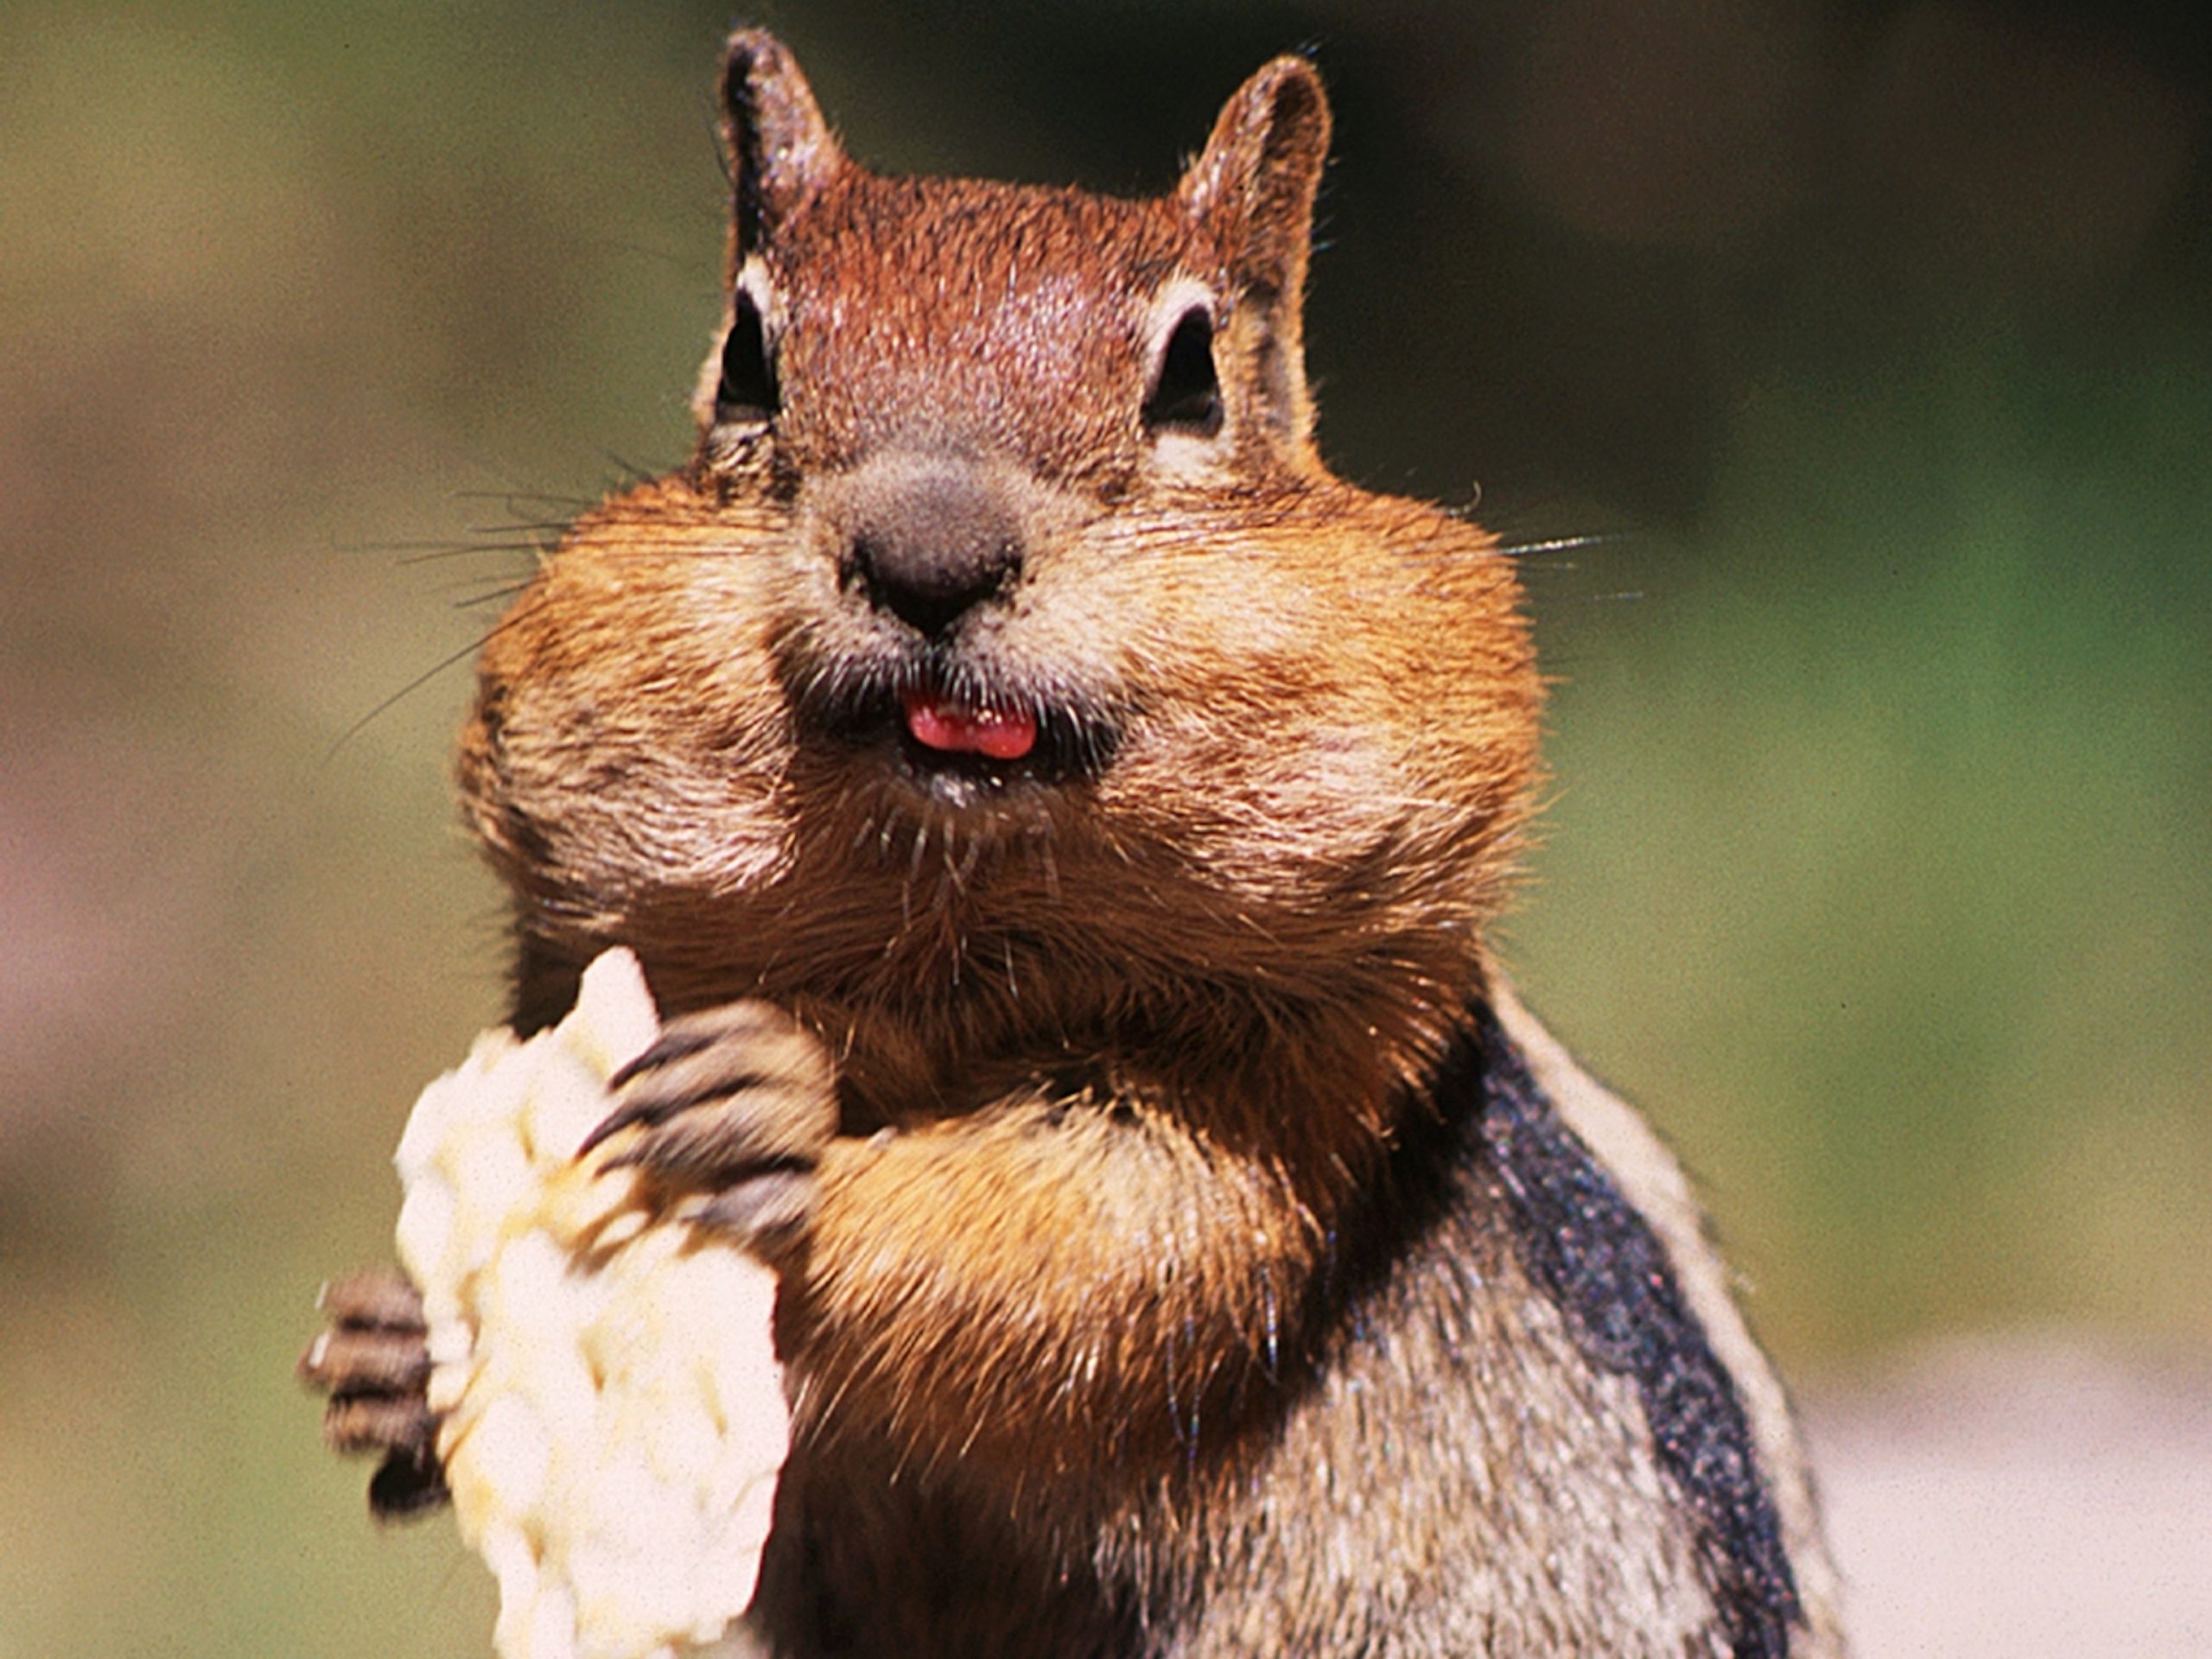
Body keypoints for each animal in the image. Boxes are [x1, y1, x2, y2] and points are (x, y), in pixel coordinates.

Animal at [303, 31, 1845, 1658]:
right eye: (748, 356)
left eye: (1193, 375)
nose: (928, 556)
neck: (946, 904)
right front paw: (397, 1352)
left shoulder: (1308, 1070)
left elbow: (1102, 1237)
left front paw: (784, 1125)